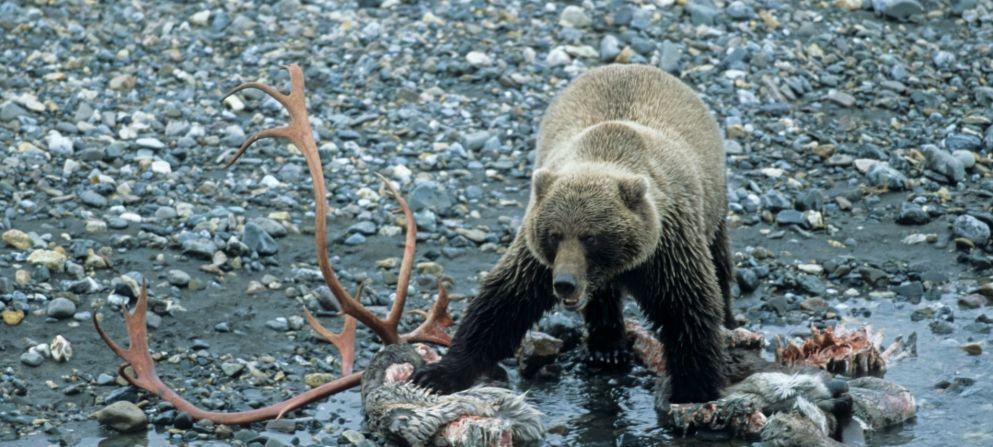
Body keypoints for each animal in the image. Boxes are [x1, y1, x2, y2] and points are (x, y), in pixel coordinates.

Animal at [412, 63, 736, 402]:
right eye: (554, 234)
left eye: (590, 236)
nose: (565, 283)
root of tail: (631, 65)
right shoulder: (538, 258)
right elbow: (502, 304)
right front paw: (437, 373)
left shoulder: (667, 247)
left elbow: (686, 309)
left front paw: (695, 389)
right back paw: (606, 347)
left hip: (714, 204)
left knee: (719, 260)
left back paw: (727, 319)